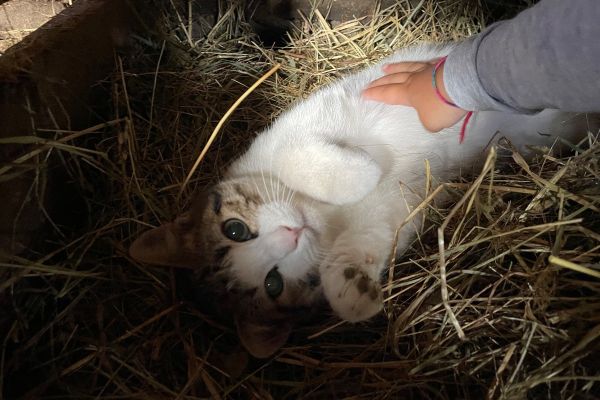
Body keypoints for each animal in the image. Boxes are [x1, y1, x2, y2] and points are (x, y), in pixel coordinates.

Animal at [127, 43, 592, 356]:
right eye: (273, 285)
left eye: (235, 229)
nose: (292, 232)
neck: (325, 215)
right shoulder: (387, 214)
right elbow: (364, 243)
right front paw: (352, 291)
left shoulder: (291, 131)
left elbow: (302, 155)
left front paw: (358, 172)